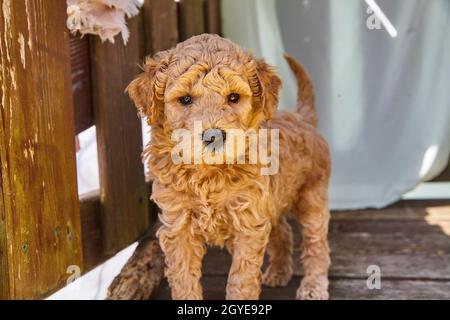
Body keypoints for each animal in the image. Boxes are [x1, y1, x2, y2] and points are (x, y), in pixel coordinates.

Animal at [126, 33, 330, 298]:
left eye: (234, 97)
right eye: (185, 99)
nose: (213, 136)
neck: (208, 175)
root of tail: (302, 119)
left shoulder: (248, 222)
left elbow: (241, 279)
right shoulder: (178, 225)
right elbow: (183, 278)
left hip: (312, 197)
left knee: (317, 245)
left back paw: (313, 286)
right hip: (272, 202)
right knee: (282, 231)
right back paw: (278, 272)